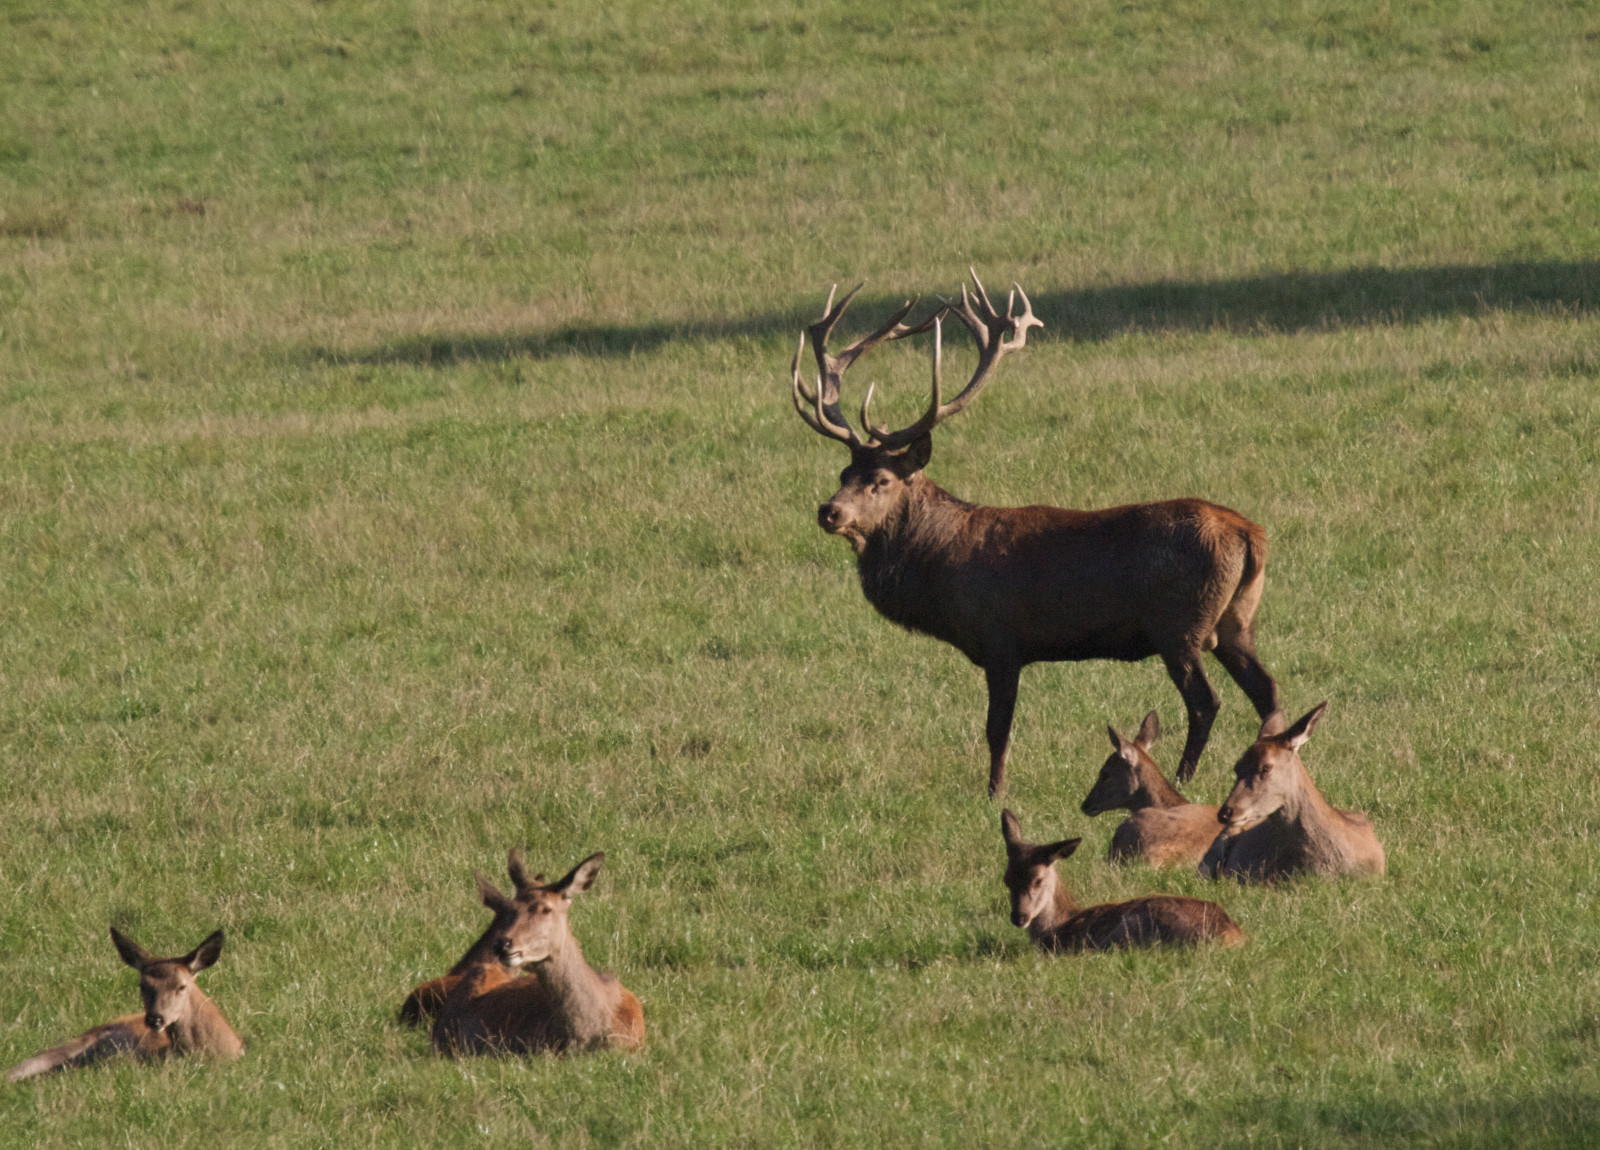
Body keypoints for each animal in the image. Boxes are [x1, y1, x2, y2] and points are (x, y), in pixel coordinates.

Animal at [792, 271, 1281, 796]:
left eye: (881, 480)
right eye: (844, 473)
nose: (829, 511)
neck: (941, 568)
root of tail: (1251, 535)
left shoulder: (1002, 638)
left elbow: (997, 728)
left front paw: (995, 793)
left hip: (1181, 622)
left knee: (1206, 701)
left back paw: (1180, 779)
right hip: (1235, 620)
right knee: (1268, 691)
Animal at [1000, 809, 1244, 950]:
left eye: (1038, 880)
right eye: (1006, 879)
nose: (1019, 917)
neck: (1059, 924)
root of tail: (1231, 934)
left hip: (1132, 927)